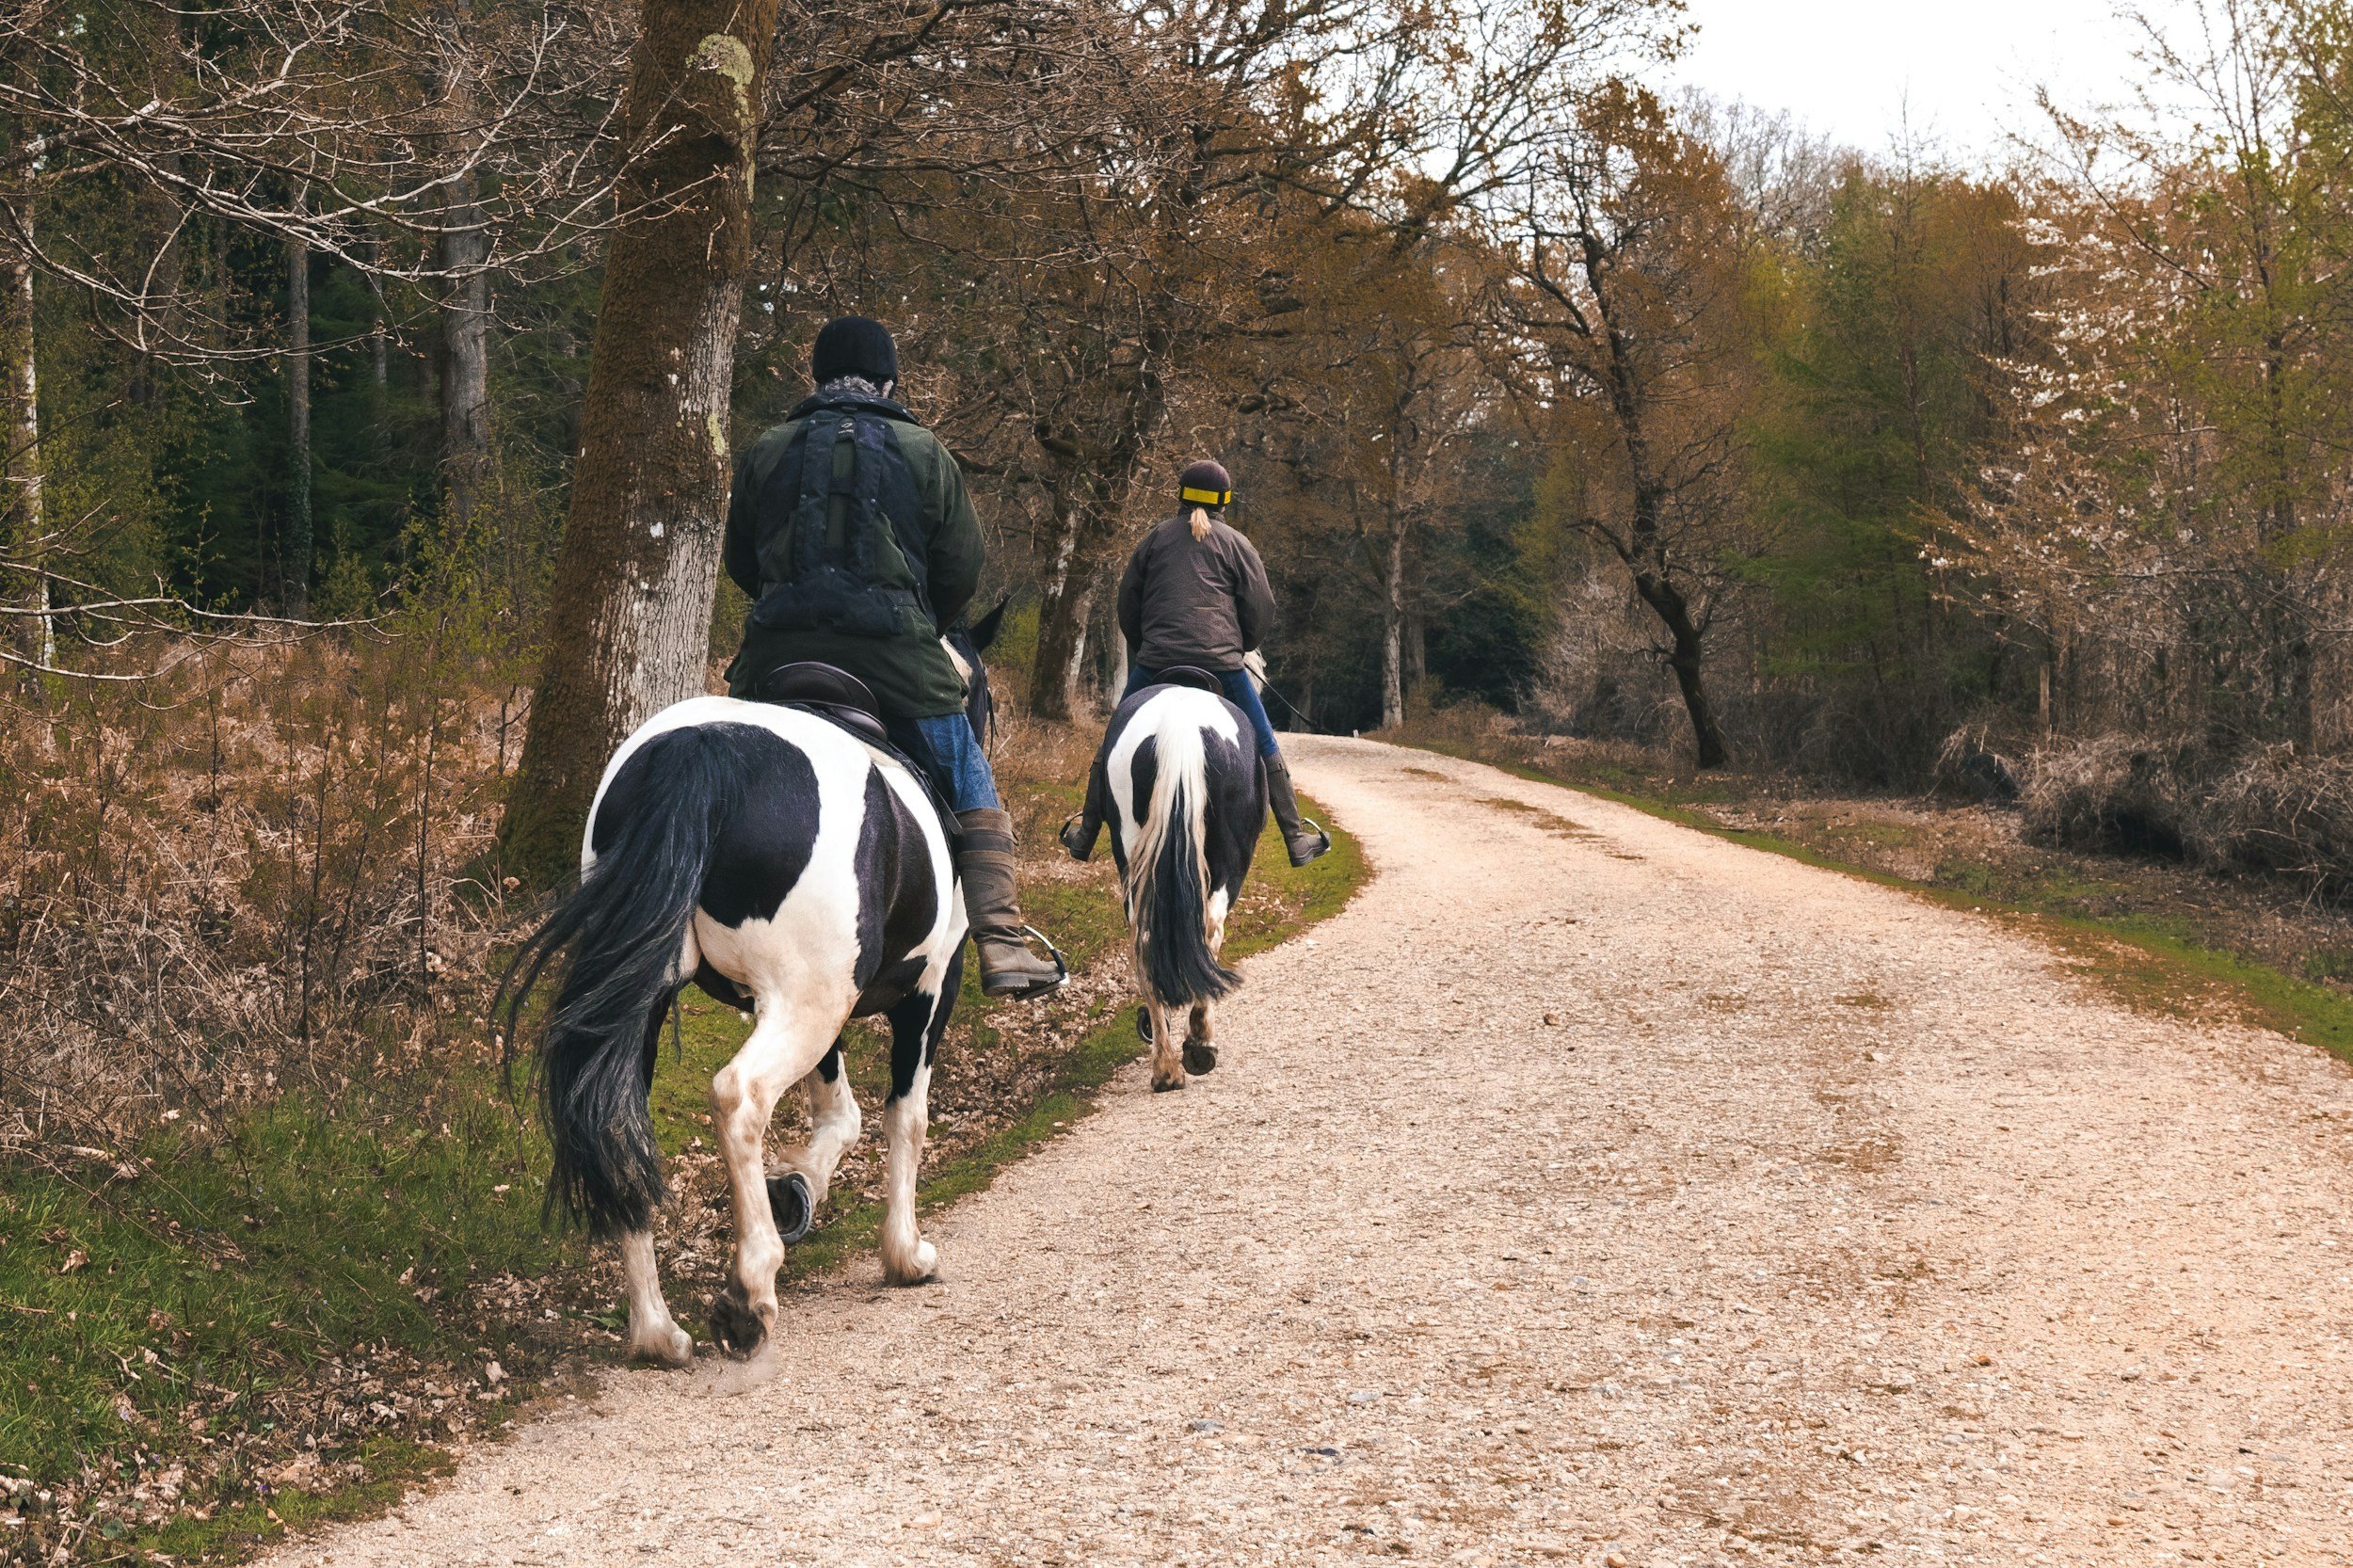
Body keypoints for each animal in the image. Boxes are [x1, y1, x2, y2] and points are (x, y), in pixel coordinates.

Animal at [504, 603, 1008, 1364]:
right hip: (806, 1004)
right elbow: (905, 1118)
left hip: (665, 1003)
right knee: (739, 1097)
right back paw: (749, 1292)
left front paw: (797, 1189)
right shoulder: (927, 994)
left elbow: (841, 1114)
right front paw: (904, 1253)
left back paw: (655, 1331)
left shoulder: (823, 1007)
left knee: (618, 1118)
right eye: (984, 700)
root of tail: (703, 749)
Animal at [1087, 675, 1267, 1091]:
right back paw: (1198, 1045)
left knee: (1144, 937)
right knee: (1210, 929)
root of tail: (1180, 727)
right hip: (1229, 861)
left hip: (1133, 856)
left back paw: (1166, 1067)